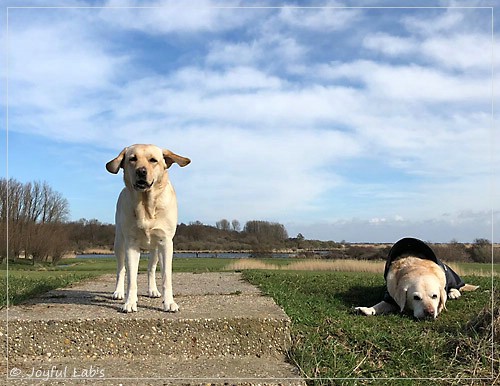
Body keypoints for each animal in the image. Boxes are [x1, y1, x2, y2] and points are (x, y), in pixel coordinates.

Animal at [106, 143, 190, 312]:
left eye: (153, 160)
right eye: (132, 159)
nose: (141, 171)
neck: (146, 205)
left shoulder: (165, 243)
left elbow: (166, 277)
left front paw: (169, 302)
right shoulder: (131, 244)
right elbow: (131, 278)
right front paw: (129, 303)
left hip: (155, 249)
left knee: (151, 269)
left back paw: (153, 290)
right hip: (119, 243)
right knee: (121, 270)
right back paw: (118, 292)